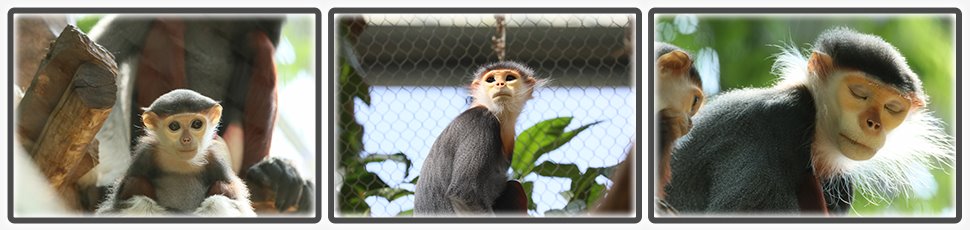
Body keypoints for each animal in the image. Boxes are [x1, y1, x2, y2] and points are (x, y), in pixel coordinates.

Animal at [96, 89, 255, 217]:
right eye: (174, 126)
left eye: (196, 124)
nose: (186, 139)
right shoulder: (144, 155)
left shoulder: (215, 159)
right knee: (136, 182)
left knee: (222, 186)